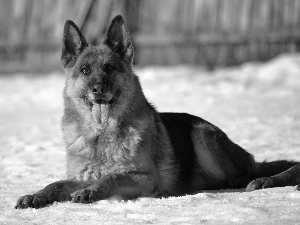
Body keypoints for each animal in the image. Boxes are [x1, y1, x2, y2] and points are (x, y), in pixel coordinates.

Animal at [14, 15, 300, 209]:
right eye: (84, 70)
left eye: (109, 68)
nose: (98, 90)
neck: (101, 138)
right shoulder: (80, 176)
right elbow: (57, 184)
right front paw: (36, 196)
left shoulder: (143, 178)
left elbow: (112, 178)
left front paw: (91, 192)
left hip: (203, 136)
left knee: (246, 174)